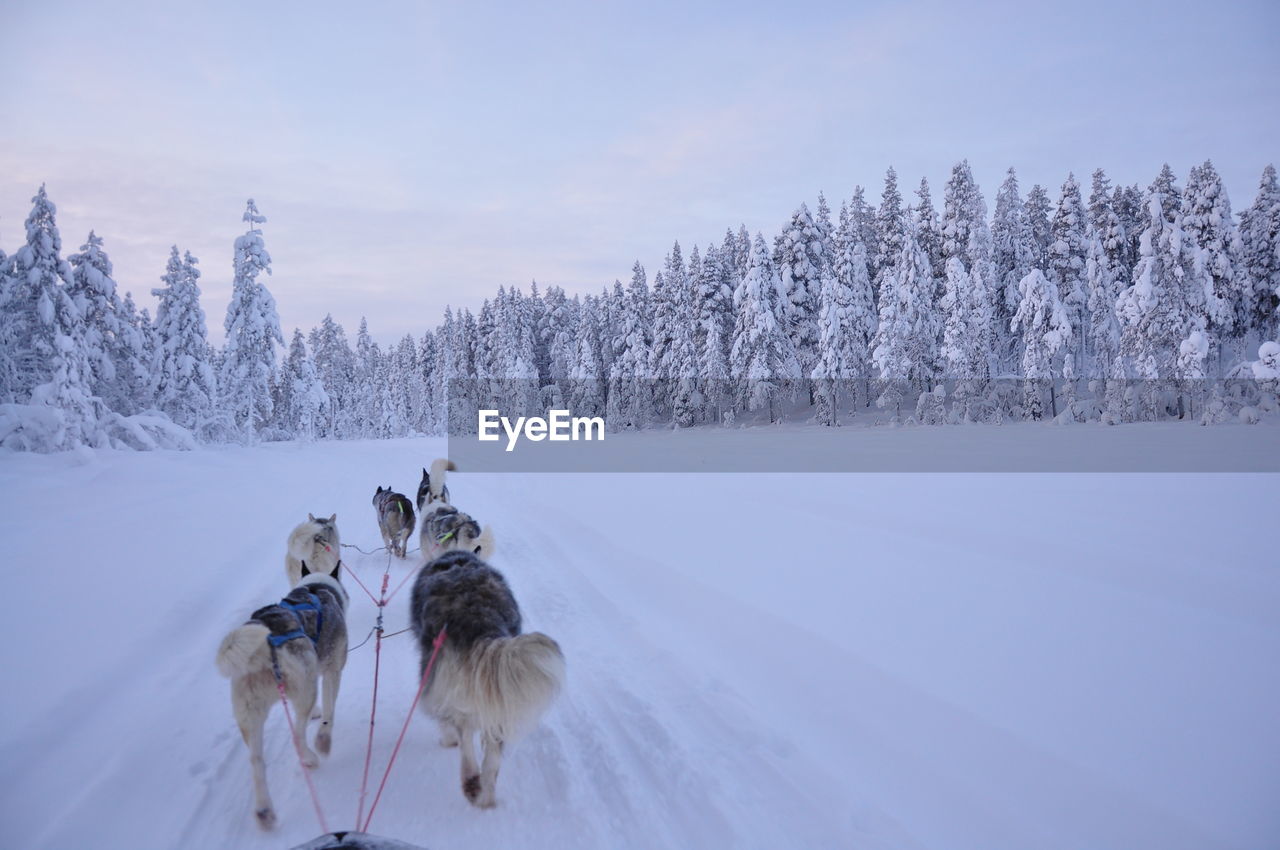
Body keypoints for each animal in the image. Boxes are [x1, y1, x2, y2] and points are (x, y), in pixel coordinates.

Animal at [216, 563, 350, 829]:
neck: (316, 586)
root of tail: (265, 644)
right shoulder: (333, 669)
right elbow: (329, 711)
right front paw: (324, 739)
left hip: (250, 715)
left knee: (256, 761)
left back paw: (264, 810)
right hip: (306, 689)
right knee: (297, 736)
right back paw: (309, 758)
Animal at [407, 547, 563, 809]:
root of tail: (476, 614)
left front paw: (447, 739)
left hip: (435, 675)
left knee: (464, 732)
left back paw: (469, 778)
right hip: (498, 694)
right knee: (492, 756)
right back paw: (485, 795)